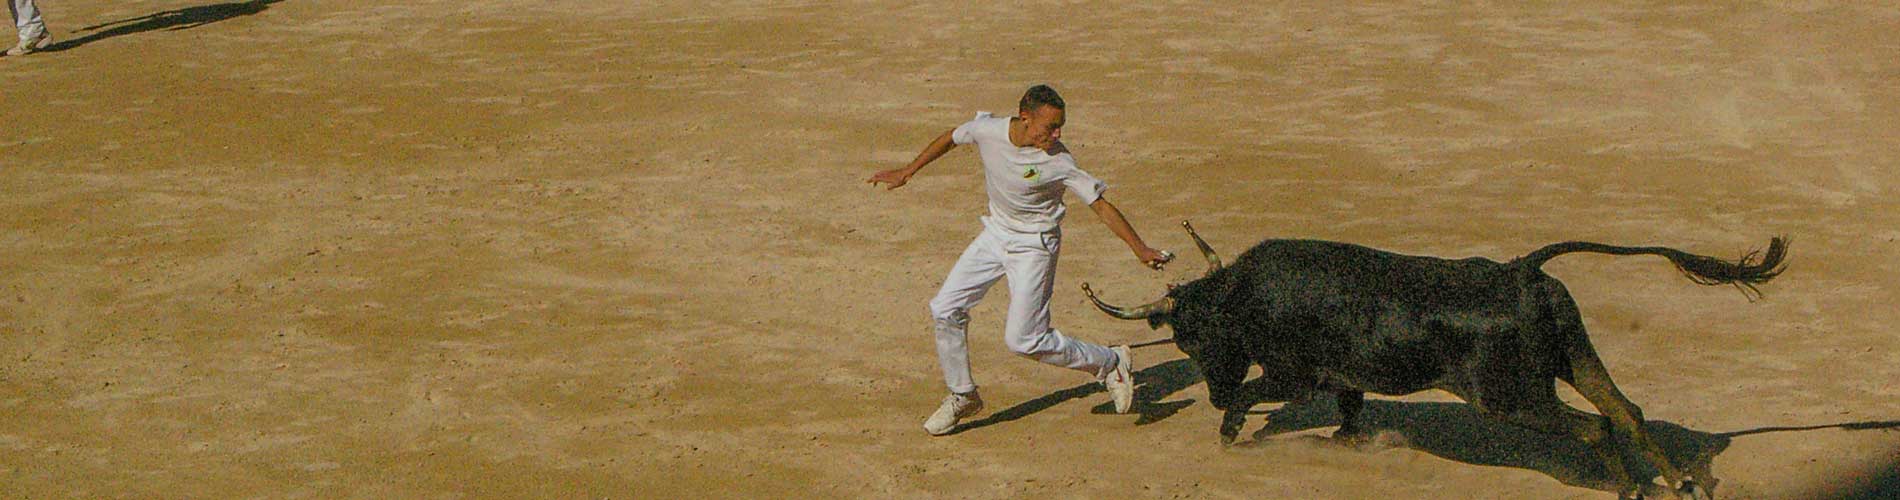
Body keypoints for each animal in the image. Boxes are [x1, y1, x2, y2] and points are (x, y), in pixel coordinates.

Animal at [1086, 223, 1778, 500]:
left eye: (1193, 339)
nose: (1210, 393)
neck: (1245, 295)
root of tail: (1518, 269)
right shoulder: (1340, 377)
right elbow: (1350, 408)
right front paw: (1346, 443)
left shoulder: (1294, 376)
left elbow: (1259, 394)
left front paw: (1232, 433)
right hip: (1575, 358)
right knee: (1627, 410)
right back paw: (1683, 483)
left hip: (1509, 397)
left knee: (1595, 426)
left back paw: (1631, 488)